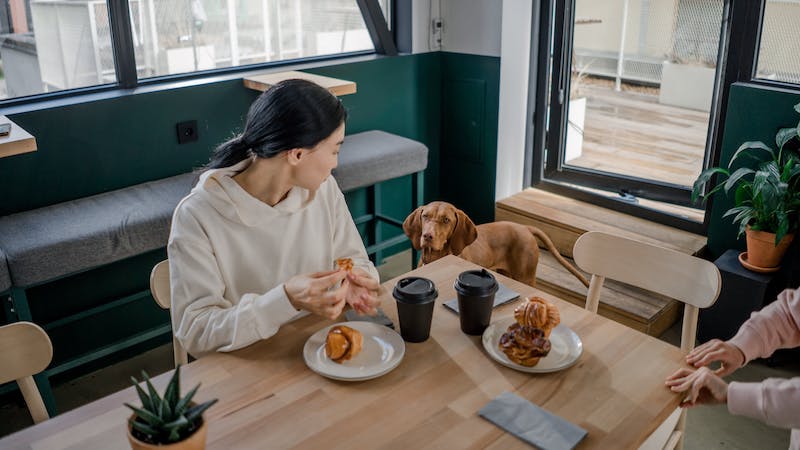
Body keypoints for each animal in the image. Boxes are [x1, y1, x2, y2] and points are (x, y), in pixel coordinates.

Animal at [404, 201, 592, 286]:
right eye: (425, 216)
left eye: (446, 220)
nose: (427, 236)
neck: (435, 257)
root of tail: (525, 227)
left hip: (525, 277)